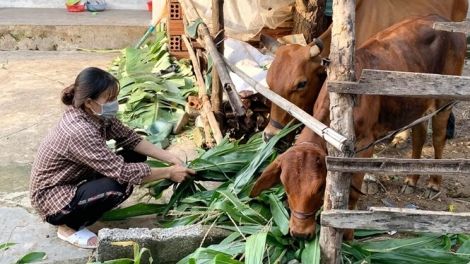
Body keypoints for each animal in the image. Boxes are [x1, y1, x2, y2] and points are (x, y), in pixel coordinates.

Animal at [250, 14, 466, 241]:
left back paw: (434, 184)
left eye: (320, 187)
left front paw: (347, 235)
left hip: (444, 102)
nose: (300, 233)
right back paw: (410, 180)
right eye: (285, 186)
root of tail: (441, 19)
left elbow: (353, 193)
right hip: (418, 104)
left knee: (439, 138)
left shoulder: (365, 144)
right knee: (419, 135)